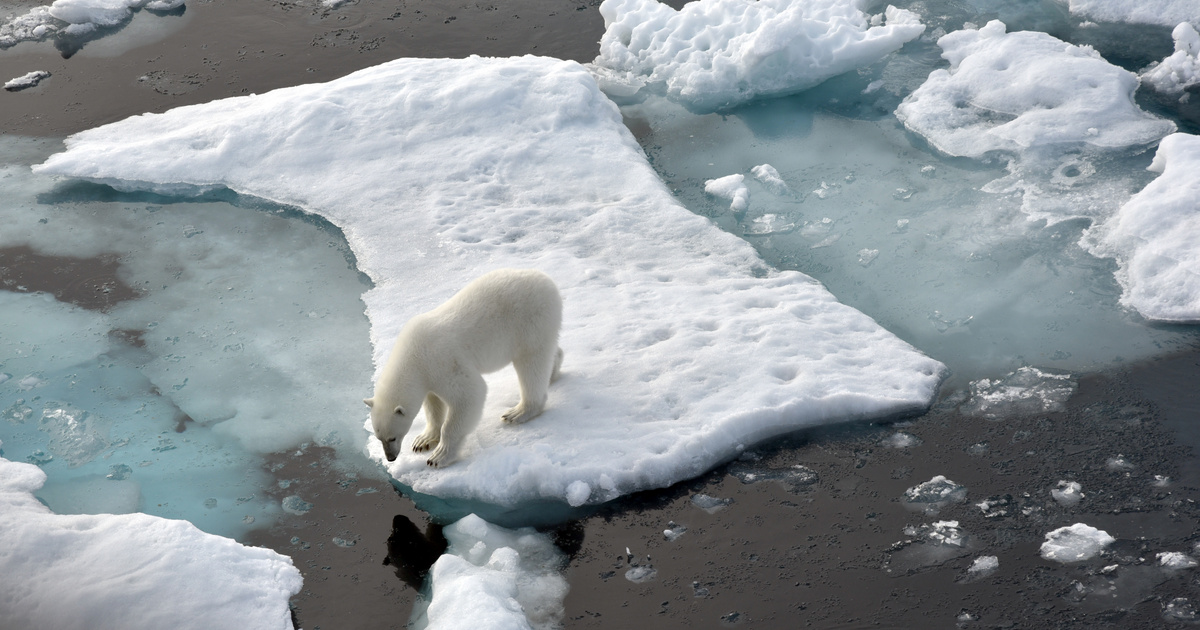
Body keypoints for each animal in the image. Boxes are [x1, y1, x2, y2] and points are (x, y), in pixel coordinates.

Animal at [362, 267, 564, 463]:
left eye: (392, 437)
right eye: (379, 437)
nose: (391, 458)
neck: (412, 356)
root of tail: (548, 282)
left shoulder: (442, 362)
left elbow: (469, 394)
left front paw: (439, 456)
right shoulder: (428, 376)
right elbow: (433, 404)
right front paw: (423, 440)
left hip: (530, 321)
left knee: (531, 363)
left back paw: (519, 412)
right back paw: (553, 372)